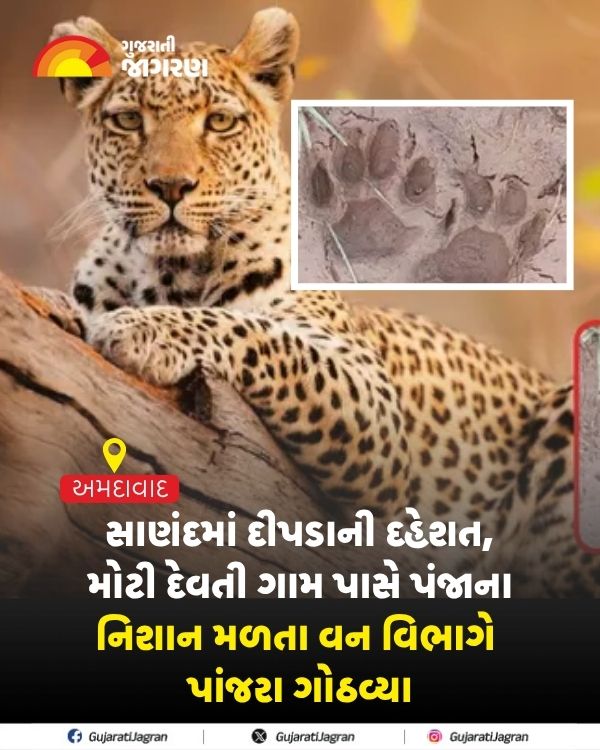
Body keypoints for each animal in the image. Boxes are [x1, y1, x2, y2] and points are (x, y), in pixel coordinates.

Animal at [34, 9, 598, 597]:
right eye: (127, 121)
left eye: (219, 122)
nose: (171, 185)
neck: (169, 274)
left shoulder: (371, 403)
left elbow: (255, 333)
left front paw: (146, 330)